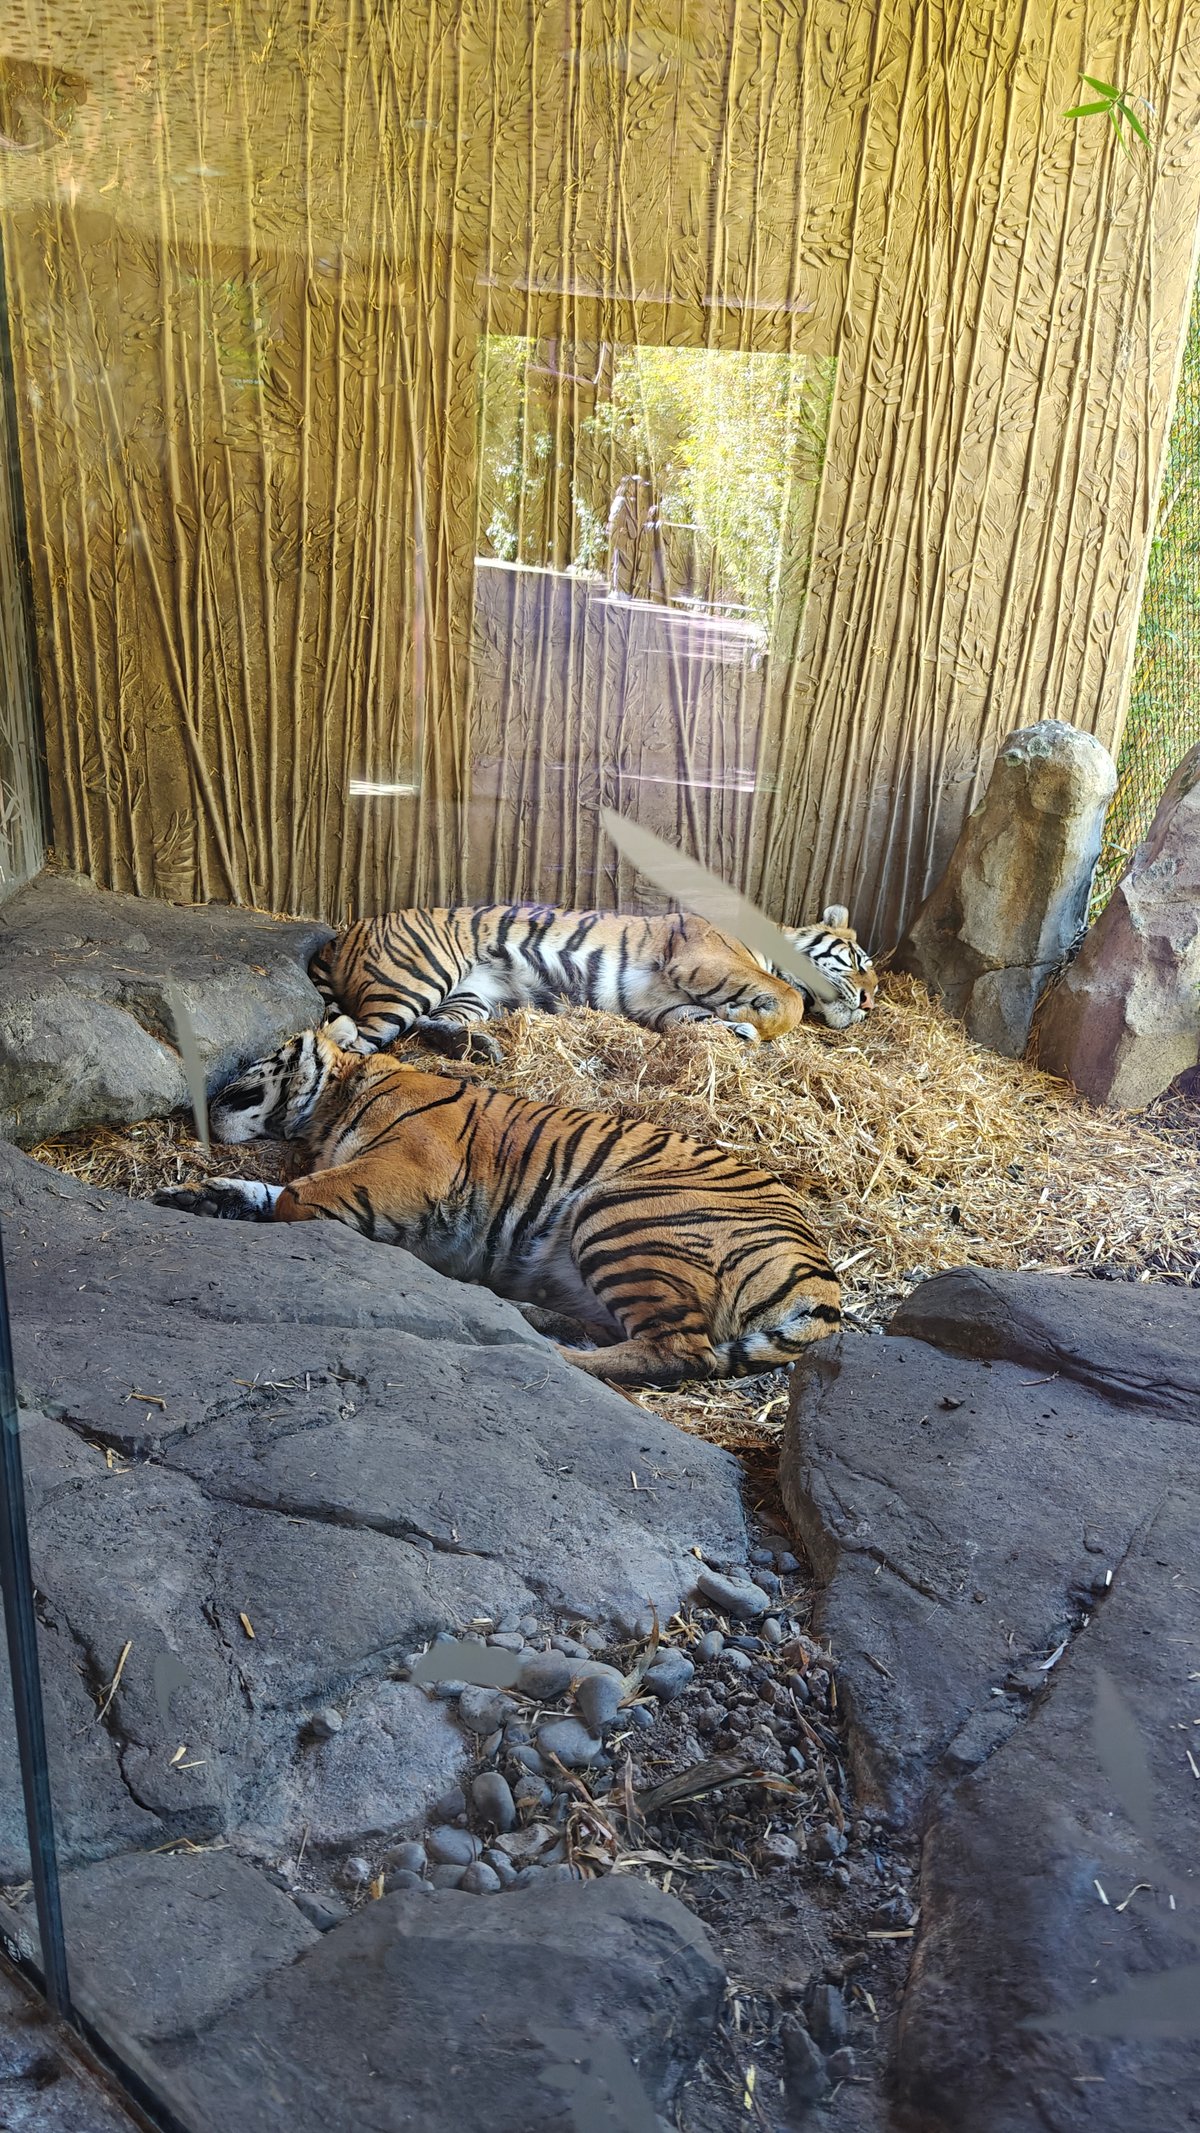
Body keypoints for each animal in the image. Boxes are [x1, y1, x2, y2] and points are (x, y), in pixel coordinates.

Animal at [153, 1029, 841, 1389]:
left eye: (256, 1059)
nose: (210, 1091)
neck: (332, 1106)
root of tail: (824, 1279)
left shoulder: (407, 1166)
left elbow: (298, 1196)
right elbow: (269, 1193)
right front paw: (195, 1196)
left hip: (621, 1212)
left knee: (681, 1350)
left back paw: (551, 1354)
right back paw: (534, 1318)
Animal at [307, 902, 877, 1063]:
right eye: (858, 958)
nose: (871, 1003)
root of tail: (349, 929)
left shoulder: (667, 1004)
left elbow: (701, 1022)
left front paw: (738, 1028)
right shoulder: (706, 959)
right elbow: (790, 1000)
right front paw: (754, 1019)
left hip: (471, 994)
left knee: (429, 1025)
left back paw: (484, 1049)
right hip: (414, 980)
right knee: (355, 1042)